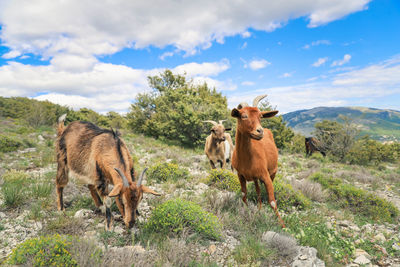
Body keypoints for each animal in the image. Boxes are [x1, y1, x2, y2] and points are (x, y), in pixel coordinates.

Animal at [231, 94, 284, 228]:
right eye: (243, 116)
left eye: (260, 116)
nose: (260, 131)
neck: (247, 159)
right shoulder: (240, 175)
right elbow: (244, 195)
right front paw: (247, 211)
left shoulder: (265, 175)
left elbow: (272, 201)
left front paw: (283, 225)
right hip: (255, 177)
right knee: (258, 191)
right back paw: (259, 209)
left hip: (273, 172)